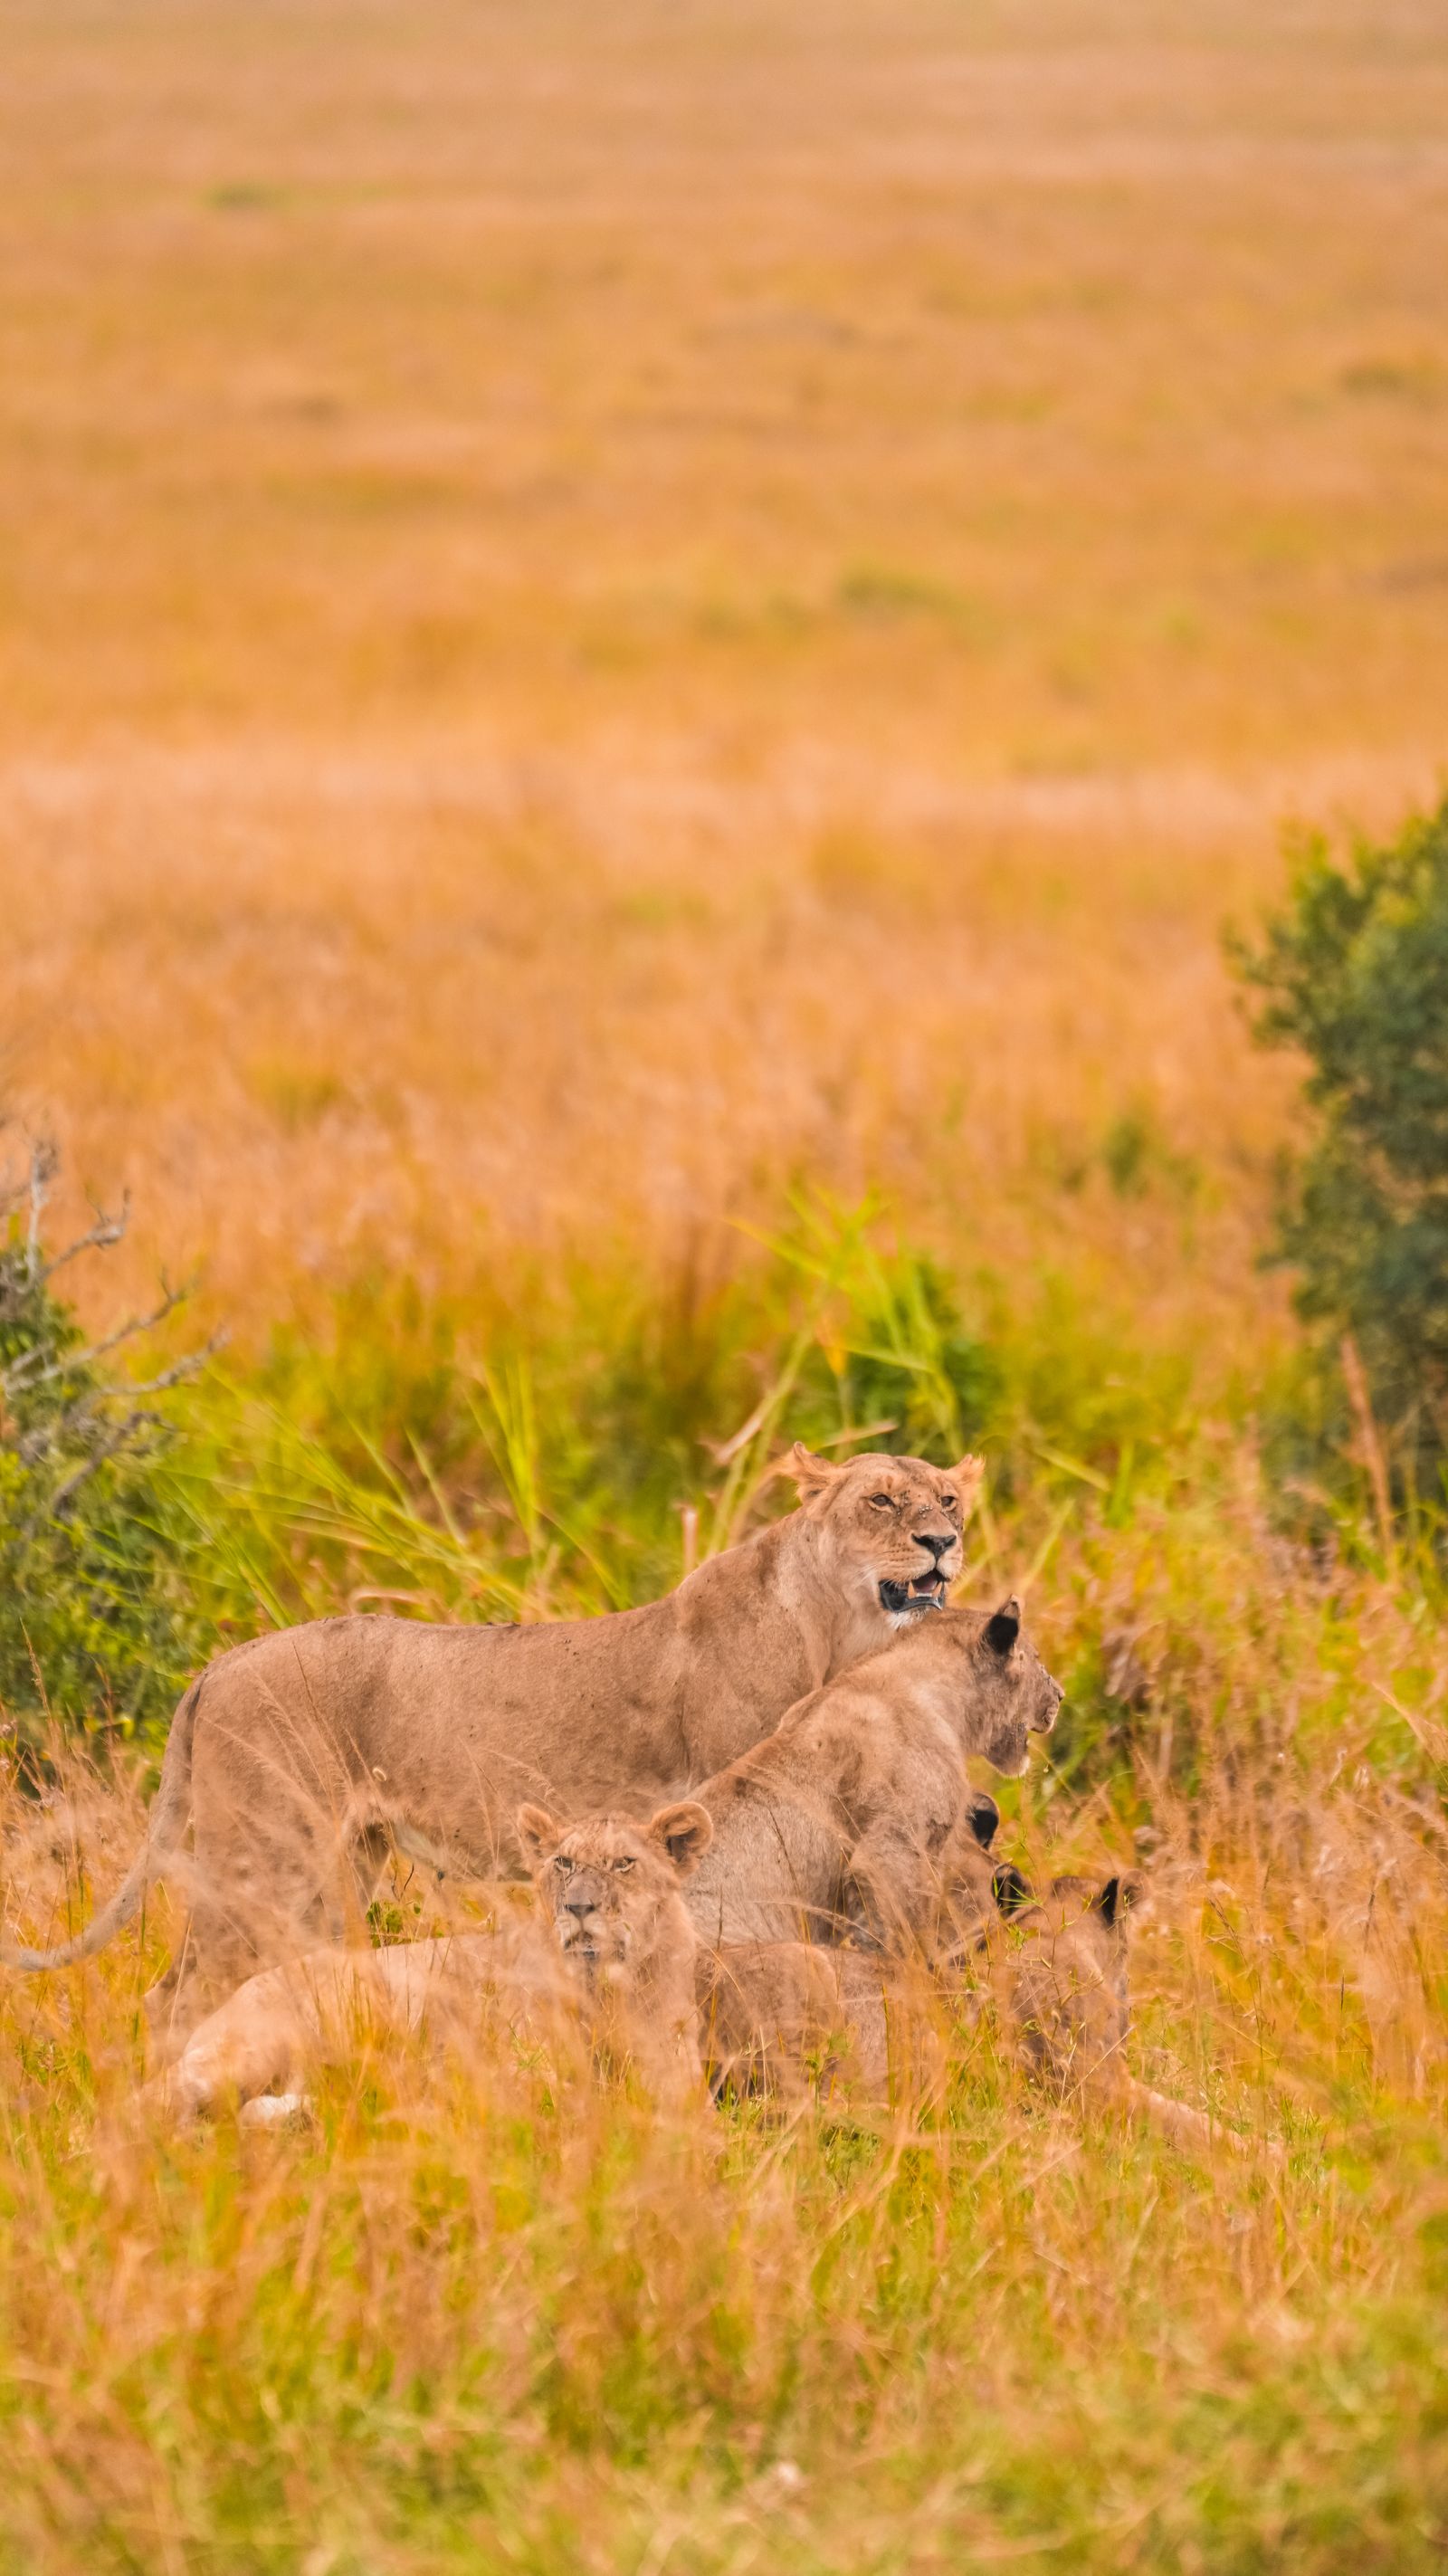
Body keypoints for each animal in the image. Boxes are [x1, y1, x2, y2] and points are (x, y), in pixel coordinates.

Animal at [3, 1442, 981, 2020]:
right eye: (881, 1501)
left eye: (948, 1500)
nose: (940, 1543)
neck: (838, 1625)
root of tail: (216, 1665)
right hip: (265, 1857)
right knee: (174, 1995)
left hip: (338, 1865)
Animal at [145, 1799, 714, 2123]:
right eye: (563, 1862)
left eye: (624, 1863)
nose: (577, 1907)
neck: (607, 1987)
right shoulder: (511, 2061)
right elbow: (563, 2093)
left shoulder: (676, 2067)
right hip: (262, 2041)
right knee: (155, 2098)